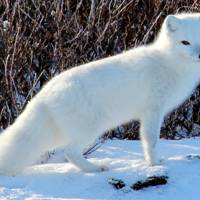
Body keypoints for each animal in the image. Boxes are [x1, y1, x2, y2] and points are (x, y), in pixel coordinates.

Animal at [0, 12, 200, 175]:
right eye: (185, 42)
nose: (198, 55)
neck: (170, 62)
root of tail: (44, 93)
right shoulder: (153, 111)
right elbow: (151, 140)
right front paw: (154, 164)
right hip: (90, 128)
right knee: (70, 152)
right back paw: (96, 169)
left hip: (59, 134)